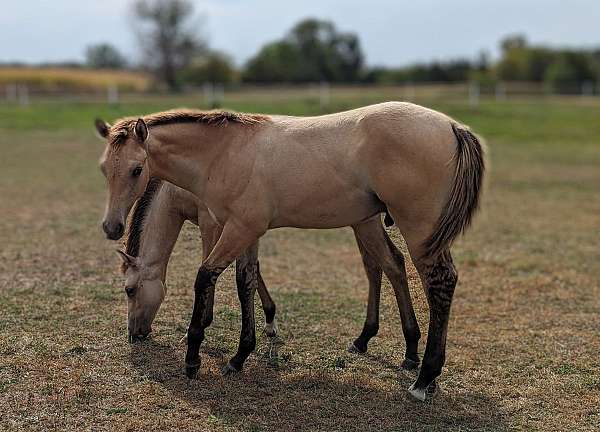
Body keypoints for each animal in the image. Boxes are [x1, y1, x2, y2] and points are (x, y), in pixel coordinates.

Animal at [96, 102, 486, 402]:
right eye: (104, 169)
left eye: (137, 169)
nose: (111, 227)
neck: (224, 153)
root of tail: (453, 127)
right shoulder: (246, 231)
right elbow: (245, 282)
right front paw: (240, 355)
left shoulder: (228, 229)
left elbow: (205, 276)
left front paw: (193, 357)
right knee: (391, 267)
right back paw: (397, 353)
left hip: (419, 231)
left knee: (439, 284)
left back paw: (423, 378)